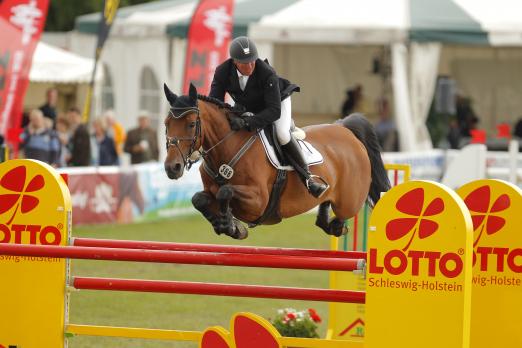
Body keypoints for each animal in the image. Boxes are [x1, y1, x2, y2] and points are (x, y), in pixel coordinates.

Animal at [164, 83, 390, 239]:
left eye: (191, 124)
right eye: (166, 124)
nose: (172, 168)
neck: (227, 148)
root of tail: (344, 128)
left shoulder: (258, 201)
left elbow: (225, 191)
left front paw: (230, 225)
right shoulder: (210, 191)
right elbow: (199, 199)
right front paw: (227, 225)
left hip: (349, 200)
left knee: (343, 213)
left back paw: (336, 223)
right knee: (325, 209)